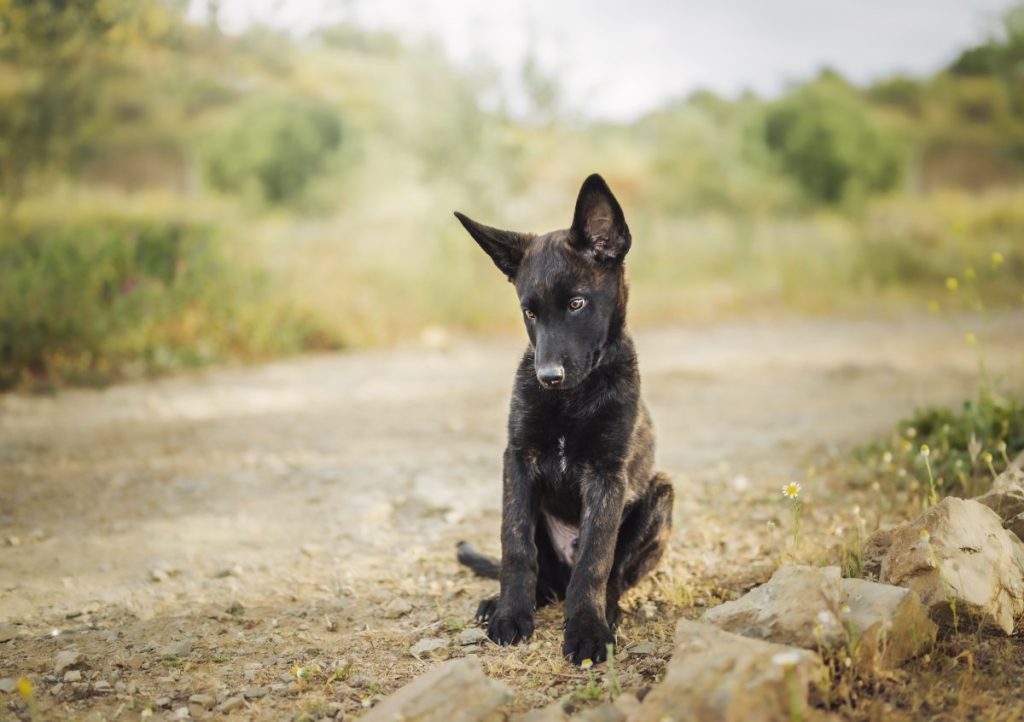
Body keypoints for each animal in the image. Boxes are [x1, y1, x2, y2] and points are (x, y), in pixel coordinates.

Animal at [454, 172, 671, 663]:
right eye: (529, 312)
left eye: (576, 304)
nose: (548, 376)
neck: (572, 399)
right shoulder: (518, 460)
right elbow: (515, 544)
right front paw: (511, 614)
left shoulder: (607, 474)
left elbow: (596, 558)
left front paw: (588, 628)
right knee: (543, 574)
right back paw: (508, 600)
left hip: (662, 495)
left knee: (612, 574)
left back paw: (607, 610)